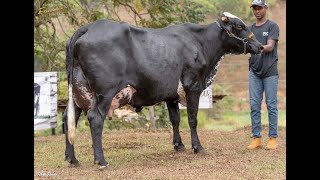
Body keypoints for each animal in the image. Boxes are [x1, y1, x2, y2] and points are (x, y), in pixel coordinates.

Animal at [62, 11, 262, 169]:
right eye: (239, 25)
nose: (259, 46)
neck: (201, 43)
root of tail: (90, 26)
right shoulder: (193, 86)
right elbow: (192, 119)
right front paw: (197, 147)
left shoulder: (171, 95)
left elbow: (175, 119)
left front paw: (178, 145)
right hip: (105, 92)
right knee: (95, 118)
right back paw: (101, 161)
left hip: (78, 92)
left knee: (68, 117)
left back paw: (72, 159)